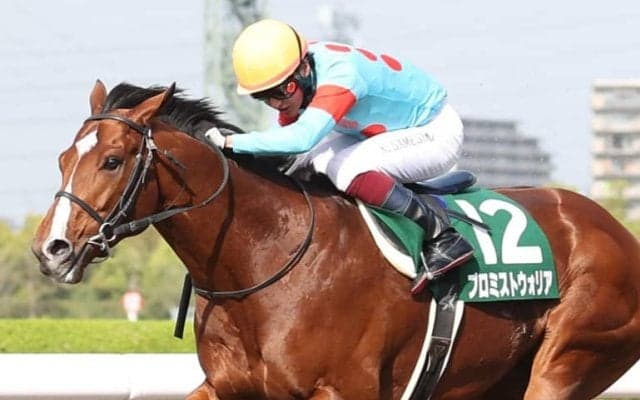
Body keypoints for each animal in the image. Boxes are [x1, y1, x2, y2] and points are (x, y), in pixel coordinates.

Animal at [32, 80, 640, 399]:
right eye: (62, 158)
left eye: (112, 161)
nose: (50, 249)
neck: (262, 259)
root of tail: (618, 233)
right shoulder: (225, 386)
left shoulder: (346, 390)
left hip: (571, 356)